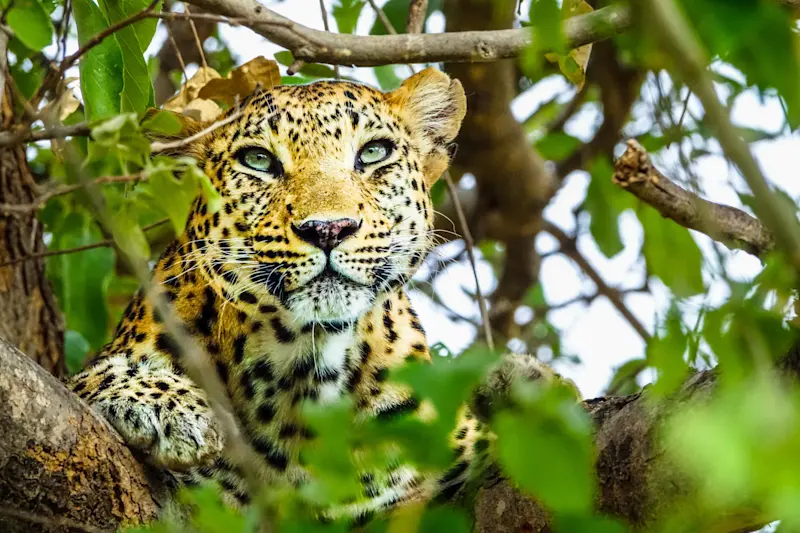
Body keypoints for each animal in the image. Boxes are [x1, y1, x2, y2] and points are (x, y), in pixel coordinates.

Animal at [68, 67, 577, 524]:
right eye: (258, 160)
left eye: (373, 153)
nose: (329, 229)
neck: (303, 369)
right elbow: (89, 377)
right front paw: (167, 406)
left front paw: (528, 392)